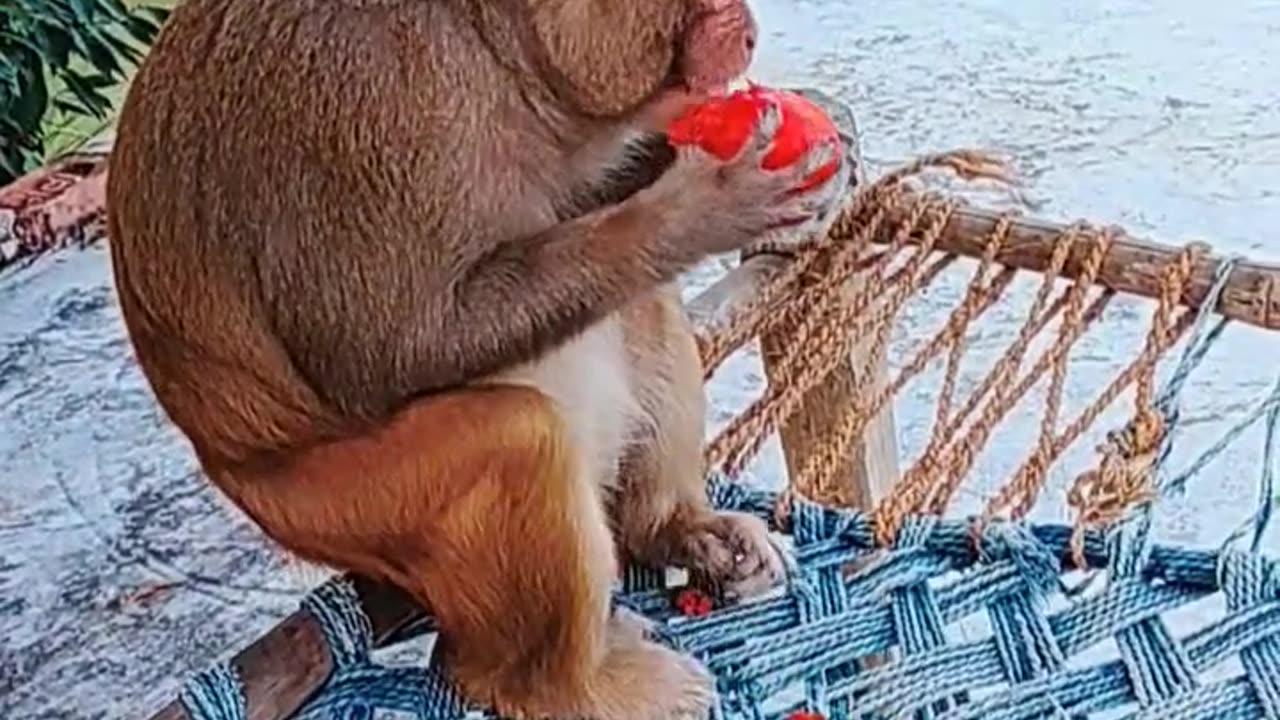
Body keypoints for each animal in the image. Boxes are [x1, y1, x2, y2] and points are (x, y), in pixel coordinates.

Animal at [107, 0, 849, 712]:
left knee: (637, 301)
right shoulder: (364, 105)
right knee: (517, 437)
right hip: (331, 510)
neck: (488, 43)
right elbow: (386, 351)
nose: (747, 29)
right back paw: (559, 688)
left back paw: (674, 527)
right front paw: (701, 210)